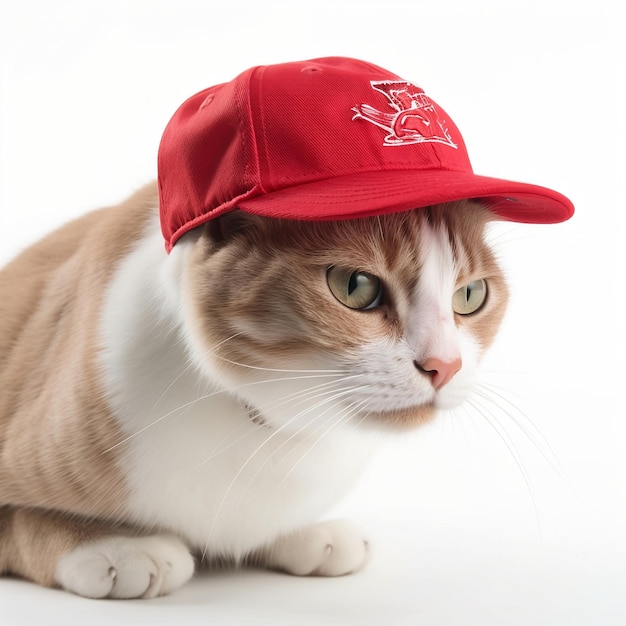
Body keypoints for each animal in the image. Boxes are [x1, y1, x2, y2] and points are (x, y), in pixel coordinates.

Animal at [0, 183, 508, 596]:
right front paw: (111, 546)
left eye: (470, 295)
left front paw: (305, 533)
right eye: (355, 285)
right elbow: (22, 521)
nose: (445, 365)